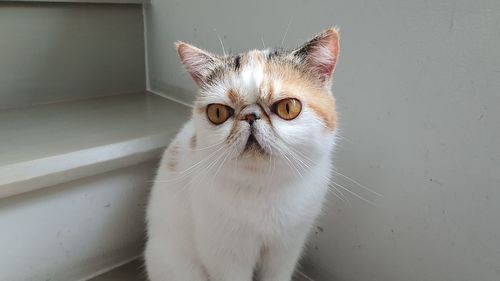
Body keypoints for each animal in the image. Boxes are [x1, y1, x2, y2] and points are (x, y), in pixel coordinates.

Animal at [145, 26, 340, 280]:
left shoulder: (285, 249)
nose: (250, 115)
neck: (263, 189)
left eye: (288, 108)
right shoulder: (225, 256)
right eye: (218, 112)